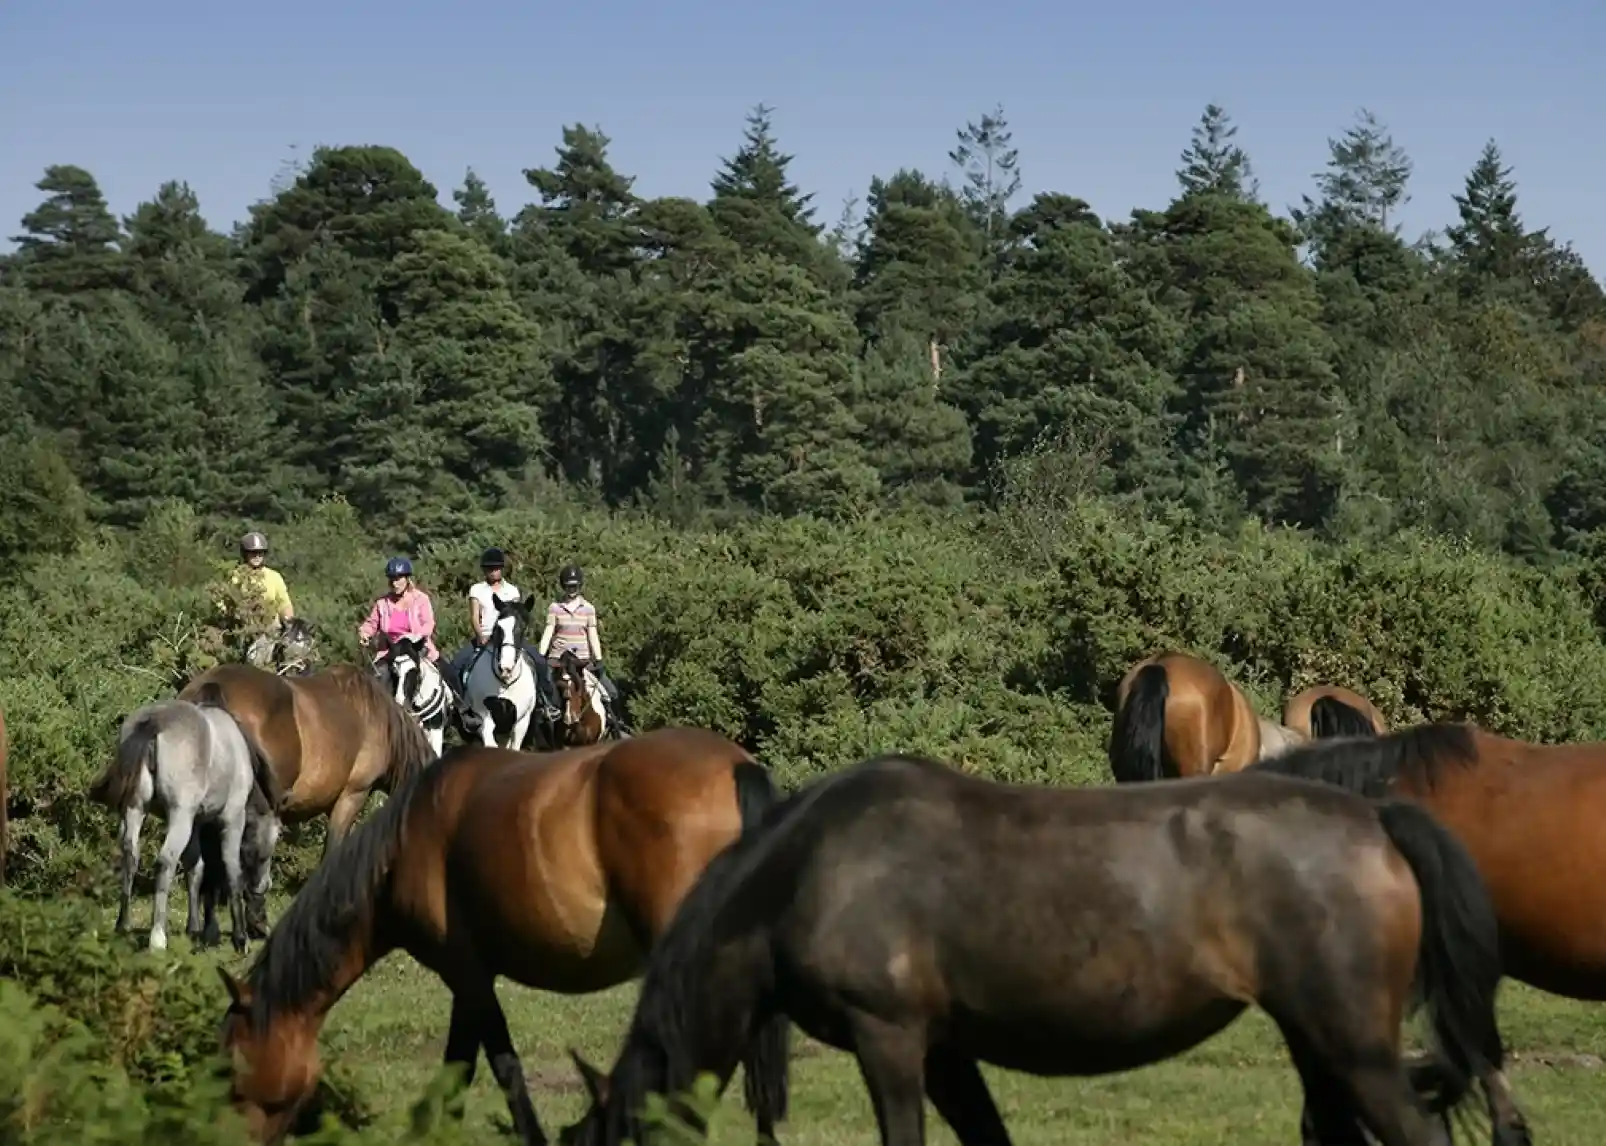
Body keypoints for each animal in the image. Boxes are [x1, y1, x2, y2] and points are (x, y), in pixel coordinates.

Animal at [89, 691, 284, 953]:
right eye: (265, 853)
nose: (265, 884)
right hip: (179, 817)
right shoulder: (232, 819)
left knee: (131, 858)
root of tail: (155, 722)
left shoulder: (197, 823)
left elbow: (196, 869)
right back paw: (157, 938)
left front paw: (195, 928)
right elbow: (231, 871)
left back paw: (123, 925)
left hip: (136, 809)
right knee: (165, 863)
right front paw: (239, 938)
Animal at [216, 726, 791, 1146]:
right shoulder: (468, 980)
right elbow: (463, 1066)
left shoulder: (468, 976)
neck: (403, 846)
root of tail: (735, 768)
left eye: (234, 1070)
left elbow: (497, 1066)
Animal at [461, 595, 541, 750]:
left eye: (523, 628)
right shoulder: (483, 714)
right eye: (498, 627)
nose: (505, 666)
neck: (505, 682)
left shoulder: (521, 721)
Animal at [559, 755, 1526, 1146]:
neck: (807, 869)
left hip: (1354, 1049)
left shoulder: (891, 1039)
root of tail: (1379, 817)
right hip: (1317, 1046)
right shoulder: (948, 1052)